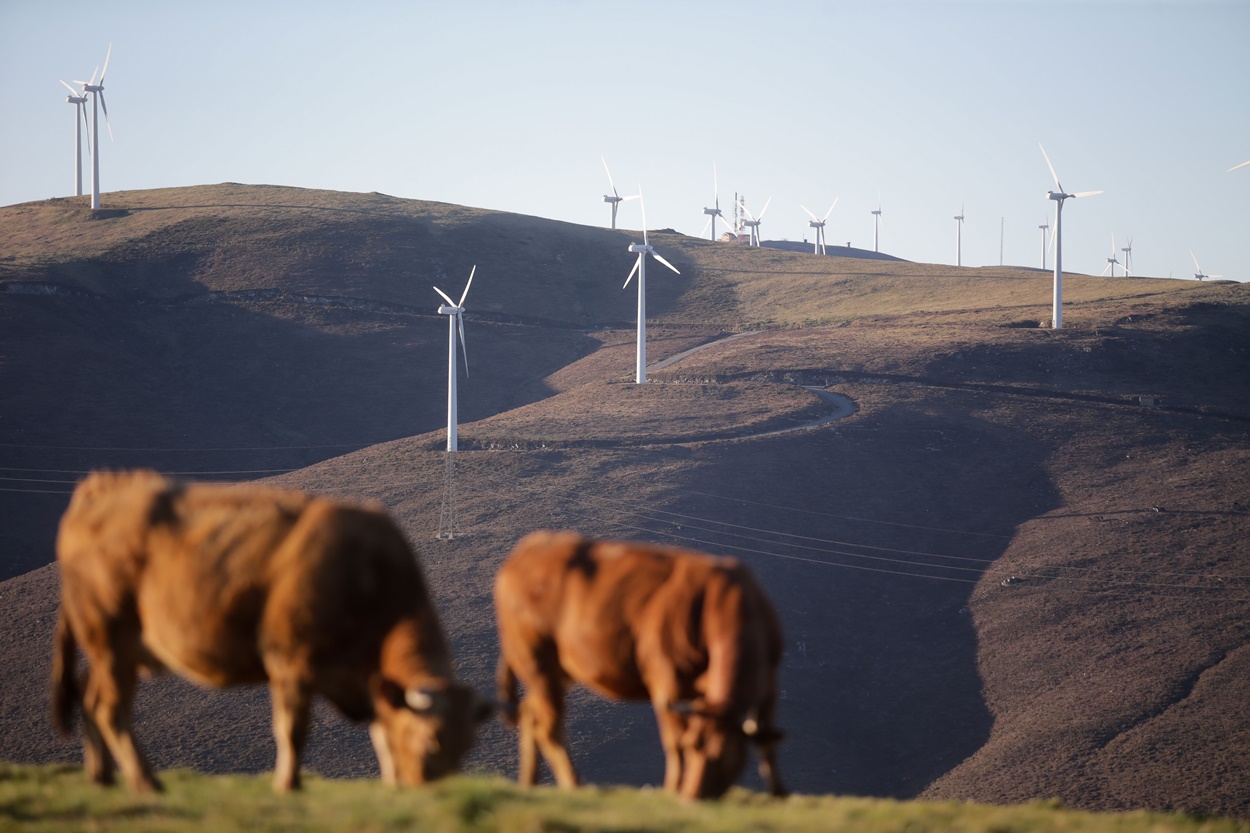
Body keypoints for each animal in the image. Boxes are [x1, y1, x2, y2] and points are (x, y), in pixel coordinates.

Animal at [50, 467, 487, 790]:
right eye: (431, 740)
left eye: (467, 747)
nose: (432, 793)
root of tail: (94, 490)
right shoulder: (290, 659)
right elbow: (292, 729)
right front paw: (287, 787)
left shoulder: (369, 682)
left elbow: (383, 735)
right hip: (108, 634)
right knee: (110, 709)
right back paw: (147, 783)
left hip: (120, 649)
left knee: (90, 698)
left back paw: (103, 778)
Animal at [492, 527, 785, 795]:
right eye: (694, 747)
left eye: (727, 760)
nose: (693, 797)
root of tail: (531, 545)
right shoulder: (667, 680)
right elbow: (674, 741)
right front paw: (672, 792)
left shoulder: (769, 682)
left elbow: (767, 744)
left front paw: (778, 796)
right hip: (536, 658)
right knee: (549, 728)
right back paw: (574, 787)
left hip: (557, 670)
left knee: (530, 713)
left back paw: (529, 785)